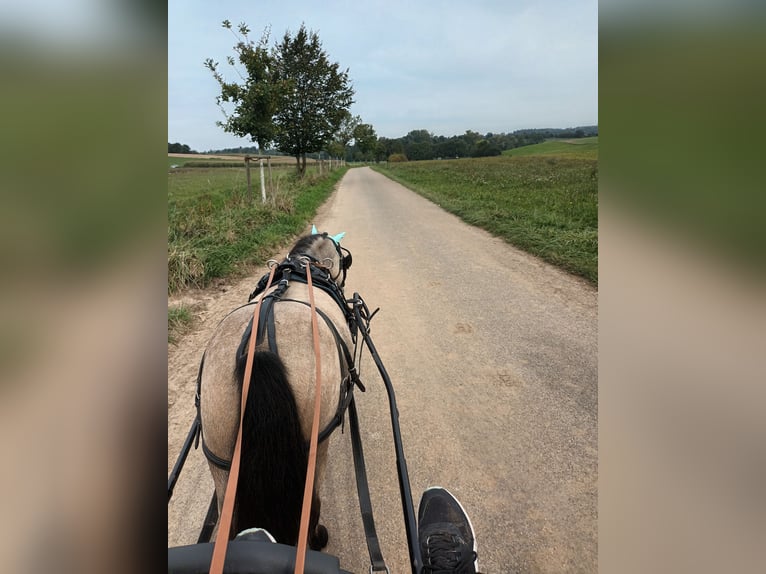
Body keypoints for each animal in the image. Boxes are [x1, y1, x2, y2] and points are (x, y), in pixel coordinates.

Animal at [196, 231, 356, 552]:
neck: (306, 266)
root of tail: (259, 350)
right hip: (315, 450)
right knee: (311, 509)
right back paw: (317, 539)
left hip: (222, 465)